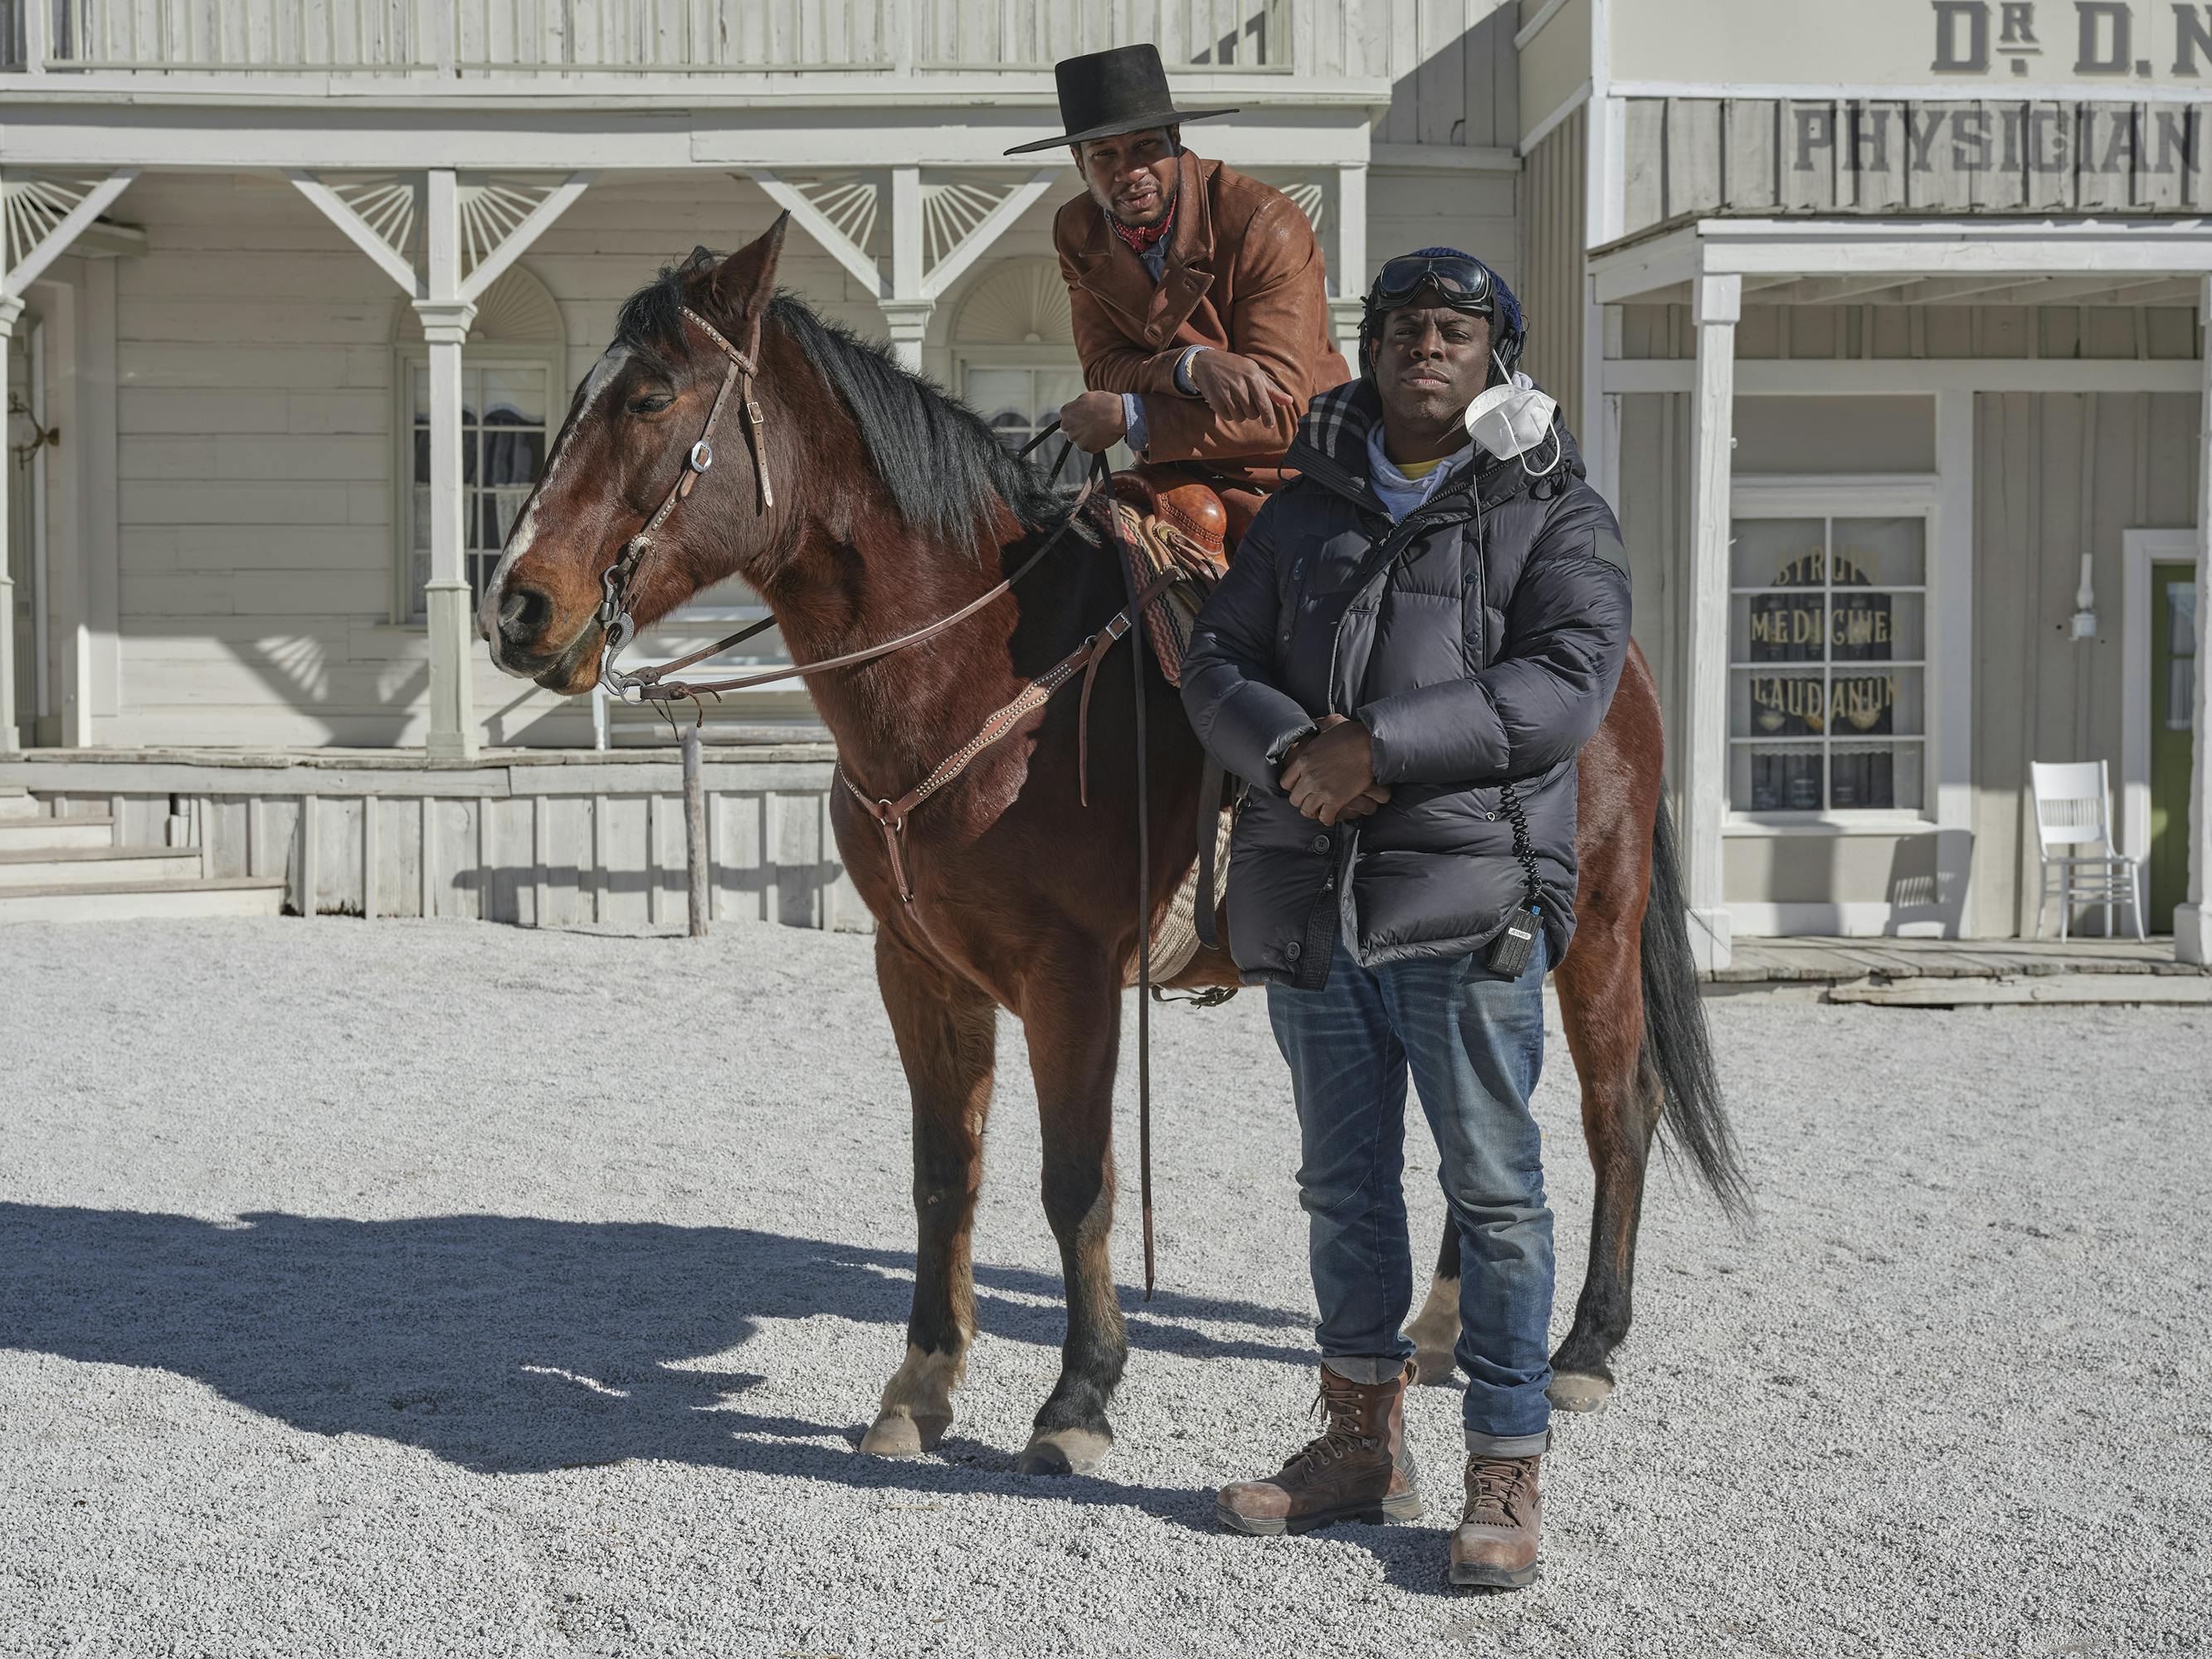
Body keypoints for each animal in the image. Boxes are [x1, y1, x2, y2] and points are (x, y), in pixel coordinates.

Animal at [480, 221, 1742, 1477]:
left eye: (650, 397)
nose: (516, 607)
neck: (969, 668)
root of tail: (1618, 656)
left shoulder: (1070, 976)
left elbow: (1074, 1180)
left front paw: (1077, 1395)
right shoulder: (918, 969)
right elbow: (944, 1175)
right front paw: (920, 1382)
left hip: (1595, 926)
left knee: (1613, 1110)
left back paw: (1585, 1342)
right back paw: (1440, 1326)